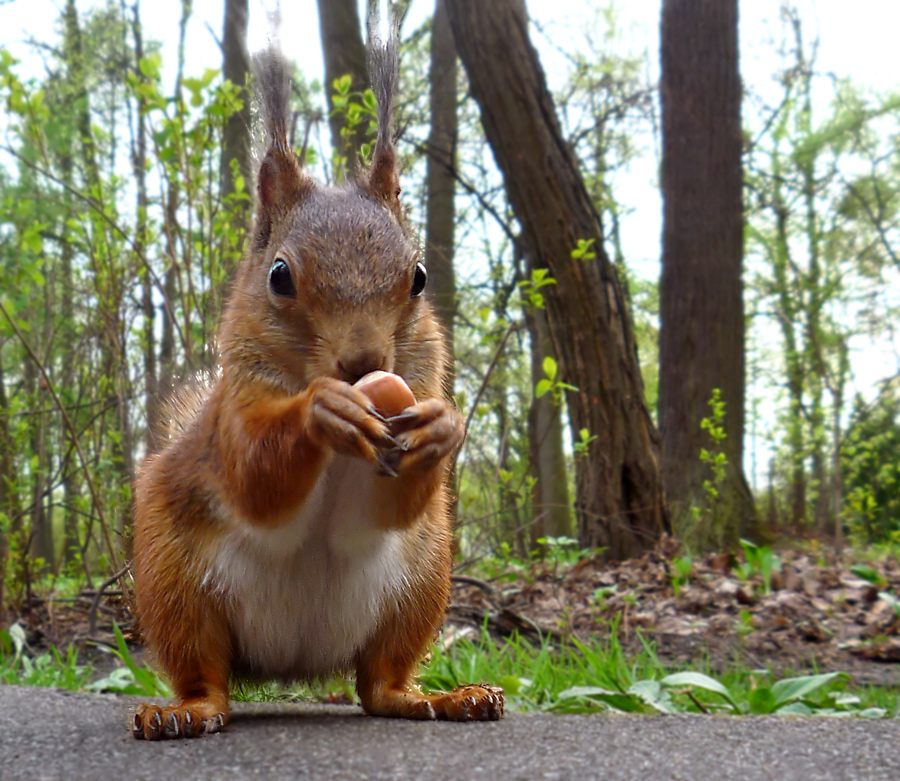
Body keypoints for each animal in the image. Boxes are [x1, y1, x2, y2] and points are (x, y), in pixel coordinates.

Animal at [129, 10, 502, 736]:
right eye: (279, 276)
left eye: (419, 277)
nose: (363, 364)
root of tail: (292, 663)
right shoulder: (231, 417)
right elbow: (255, 474)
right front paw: (322, 411)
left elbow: (391, 506)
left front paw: (444, 427)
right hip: (174, 583)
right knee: (205, 674)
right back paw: (183, 710)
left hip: (420, 582)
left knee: (379, 683)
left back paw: (445, 697)